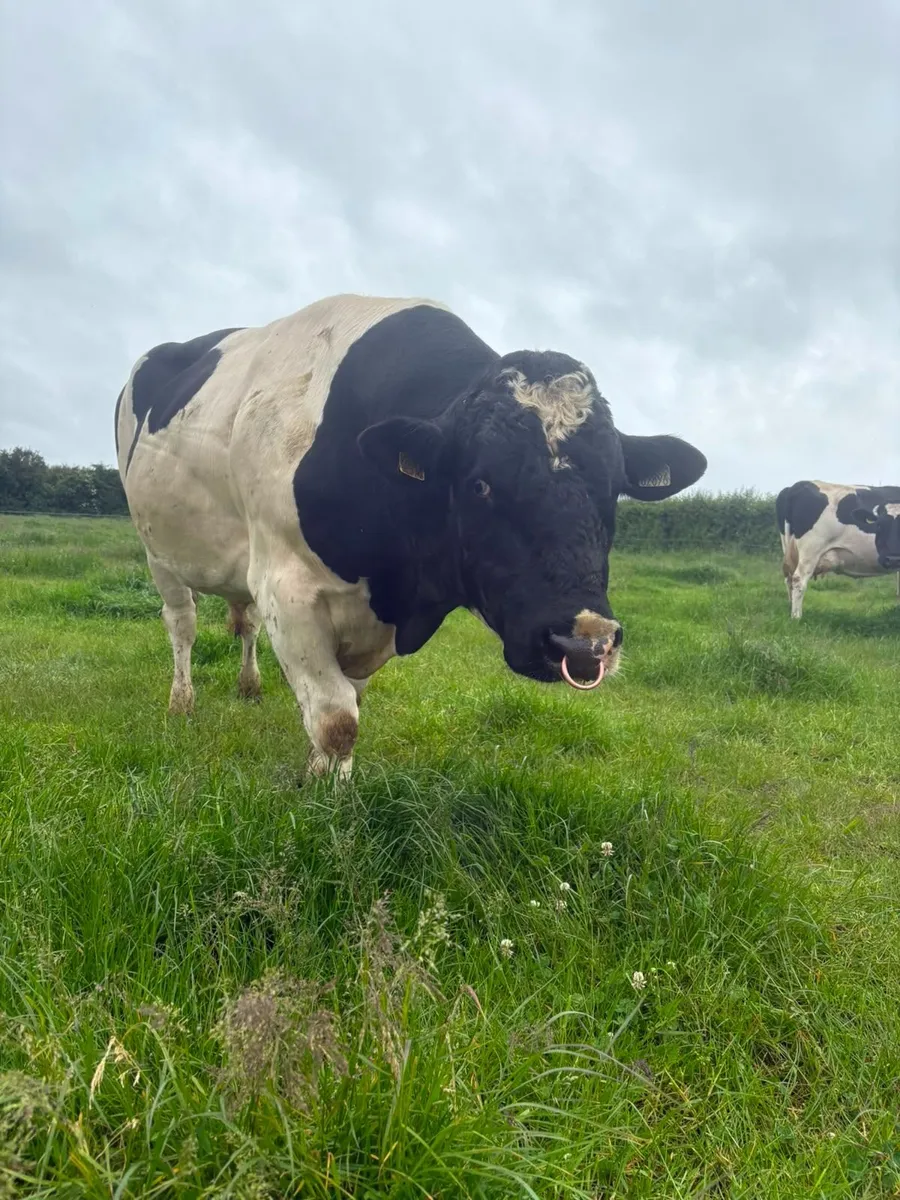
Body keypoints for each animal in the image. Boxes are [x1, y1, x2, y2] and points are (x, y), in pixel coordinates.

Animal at [115, 294, 707, 776]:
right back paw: (182, 703)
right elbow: (337, 721)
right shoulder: (288, 588)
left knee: (246, 625)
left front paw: (318, 777)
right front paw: (327, 809)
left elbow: (344, 704)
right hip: (158, 551)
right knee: (182, 625)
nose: (584, 644)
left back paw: (249, 686)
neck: (399, 586)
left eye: (614, 489)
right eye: (479, 484)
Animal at [776, 479, 900, 619]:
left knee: (789, 579)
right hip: (810, 551)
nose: (893, 559)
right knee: (799, 580)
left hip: (789, 549)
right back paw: (796, 617)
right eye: (879, 525)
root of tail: (797, 486)